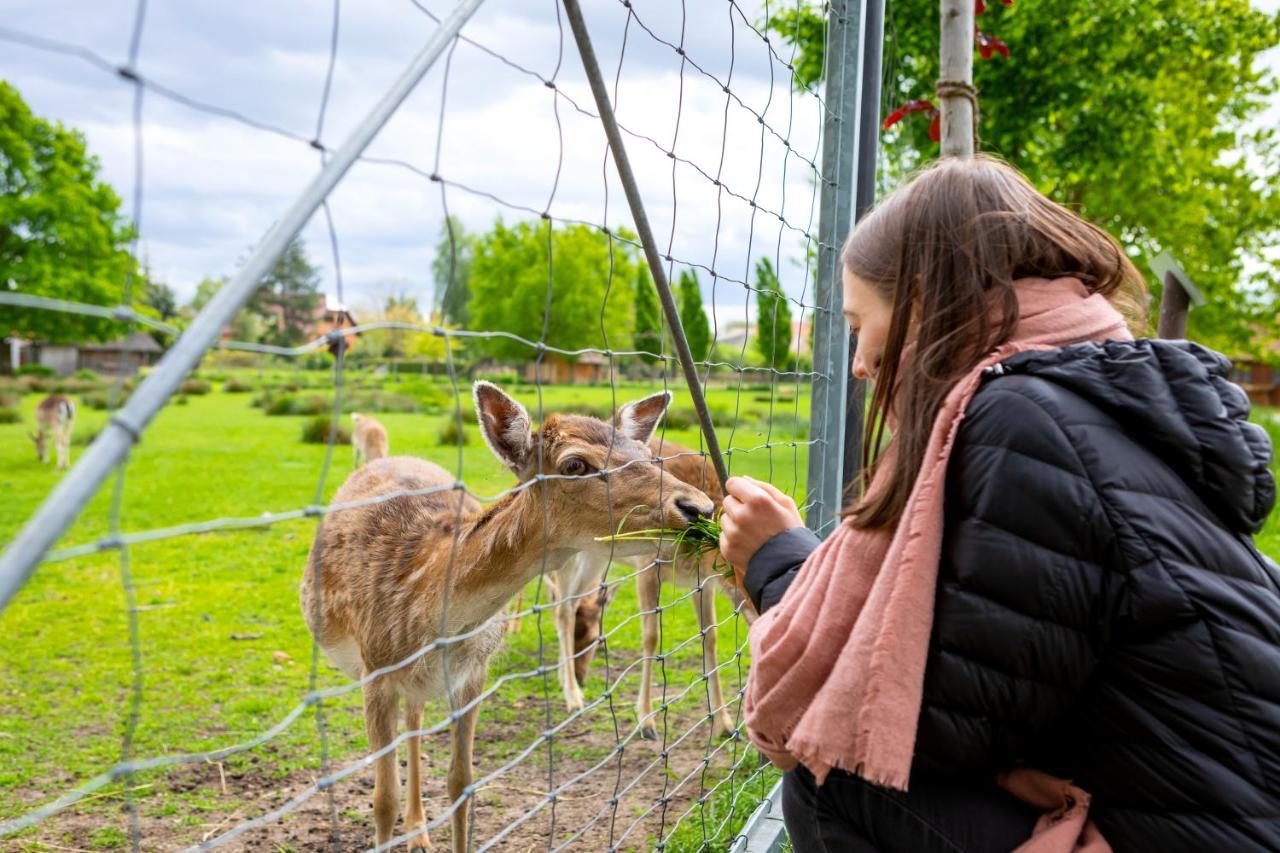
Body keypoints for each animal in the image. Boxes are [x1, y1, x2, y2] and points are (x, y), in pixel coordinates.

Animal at [304, 381, 716, 845]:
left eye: (647, 454)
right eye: (575, 464)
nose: (699, 508)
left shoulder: (473, 673)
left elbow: (461, 783)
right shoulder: (374, 673)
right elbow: (382, 799)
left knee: (415, 721)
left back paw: (421, 830)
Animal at [552, 438, 757, 737]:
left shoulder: (703, 583)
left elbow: (710, 637)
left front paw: (724, 723)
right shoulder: (648, 565)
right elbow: (651, 636)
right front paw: (646, 722)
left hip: (596, 558)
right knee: (562, 608)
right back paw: (573, 697)